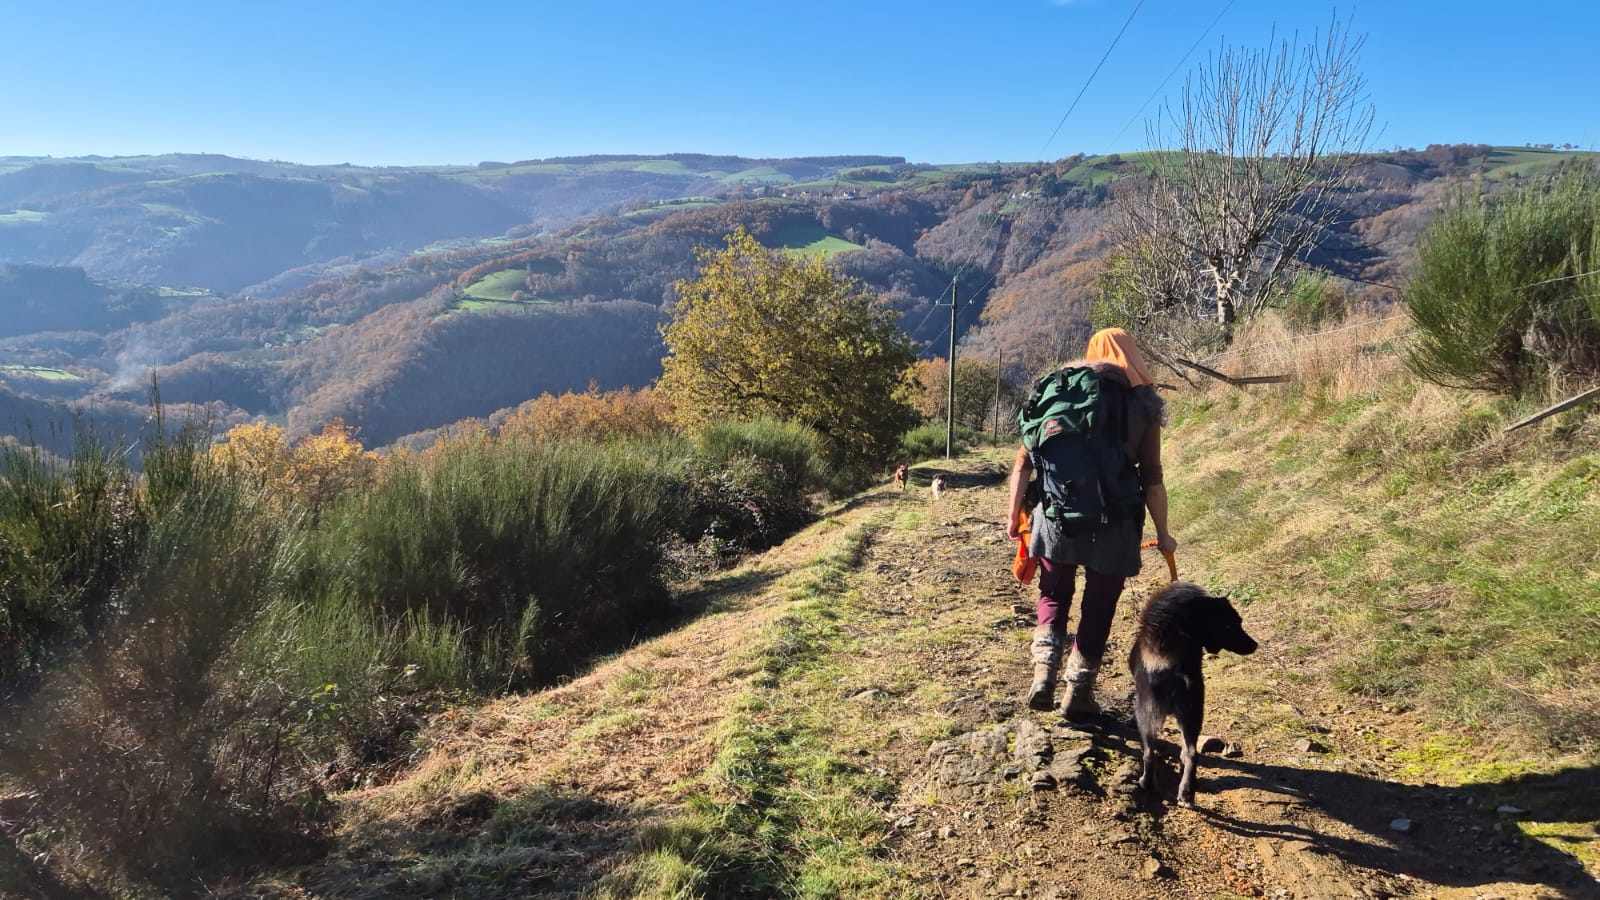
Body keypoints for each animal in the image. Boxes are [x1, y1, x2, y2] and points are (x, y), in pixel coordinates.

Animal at [1132, 582, 1254, 807]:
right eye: (1230, 625)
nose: (1254, 645)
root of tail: (1174, 671)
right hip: (1193, 713)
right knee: (1191, 753)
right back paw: (1187, 792)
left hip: (1146, 713)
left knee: (1149, 752)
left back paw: (1148, 784)